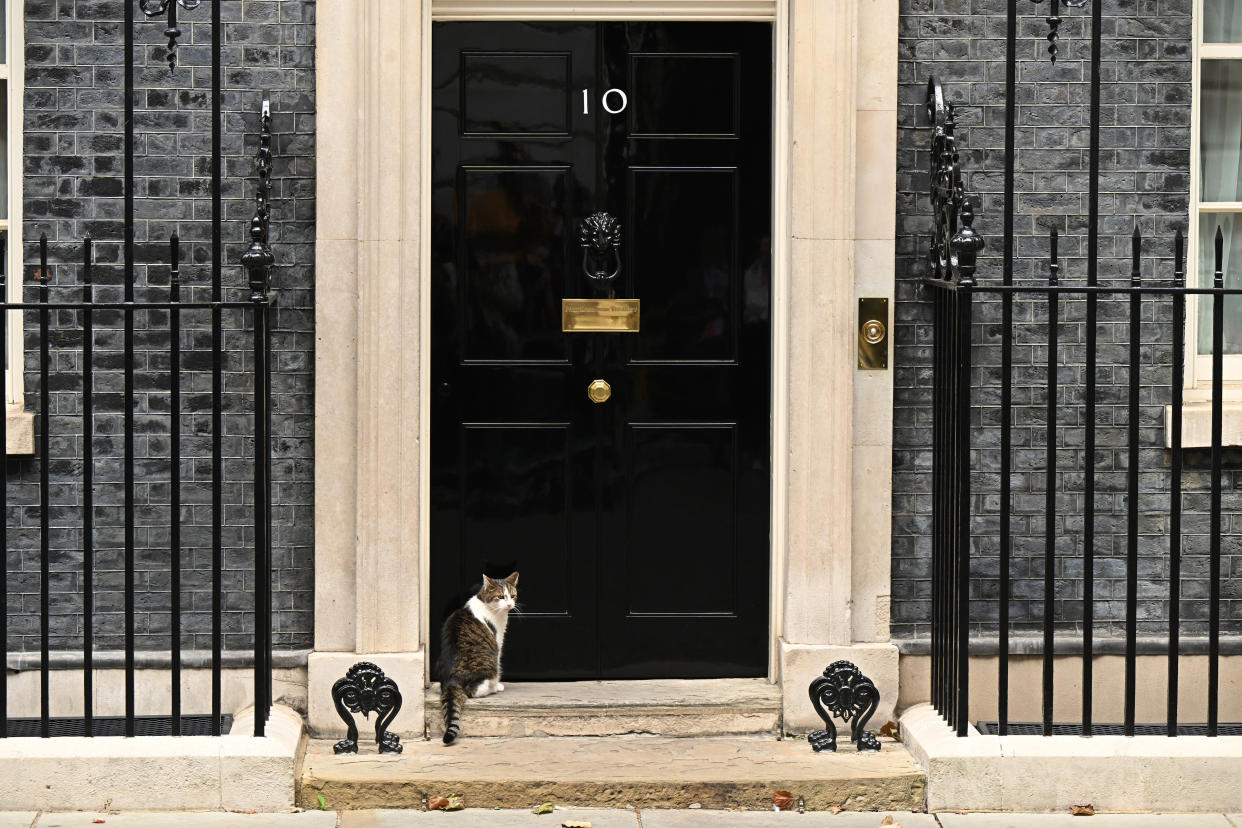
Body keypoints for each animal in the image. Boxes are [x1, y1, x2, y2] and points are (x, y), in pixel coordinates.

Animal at [439, 576, 516, 744]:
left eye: (513, 596)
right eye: (501, 596)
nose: (509, 604)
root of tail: (452, 679)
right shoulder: (497, 642)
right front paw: (498, 685)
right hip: (488, 665)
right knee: (473, 691)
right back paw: (493, 688)